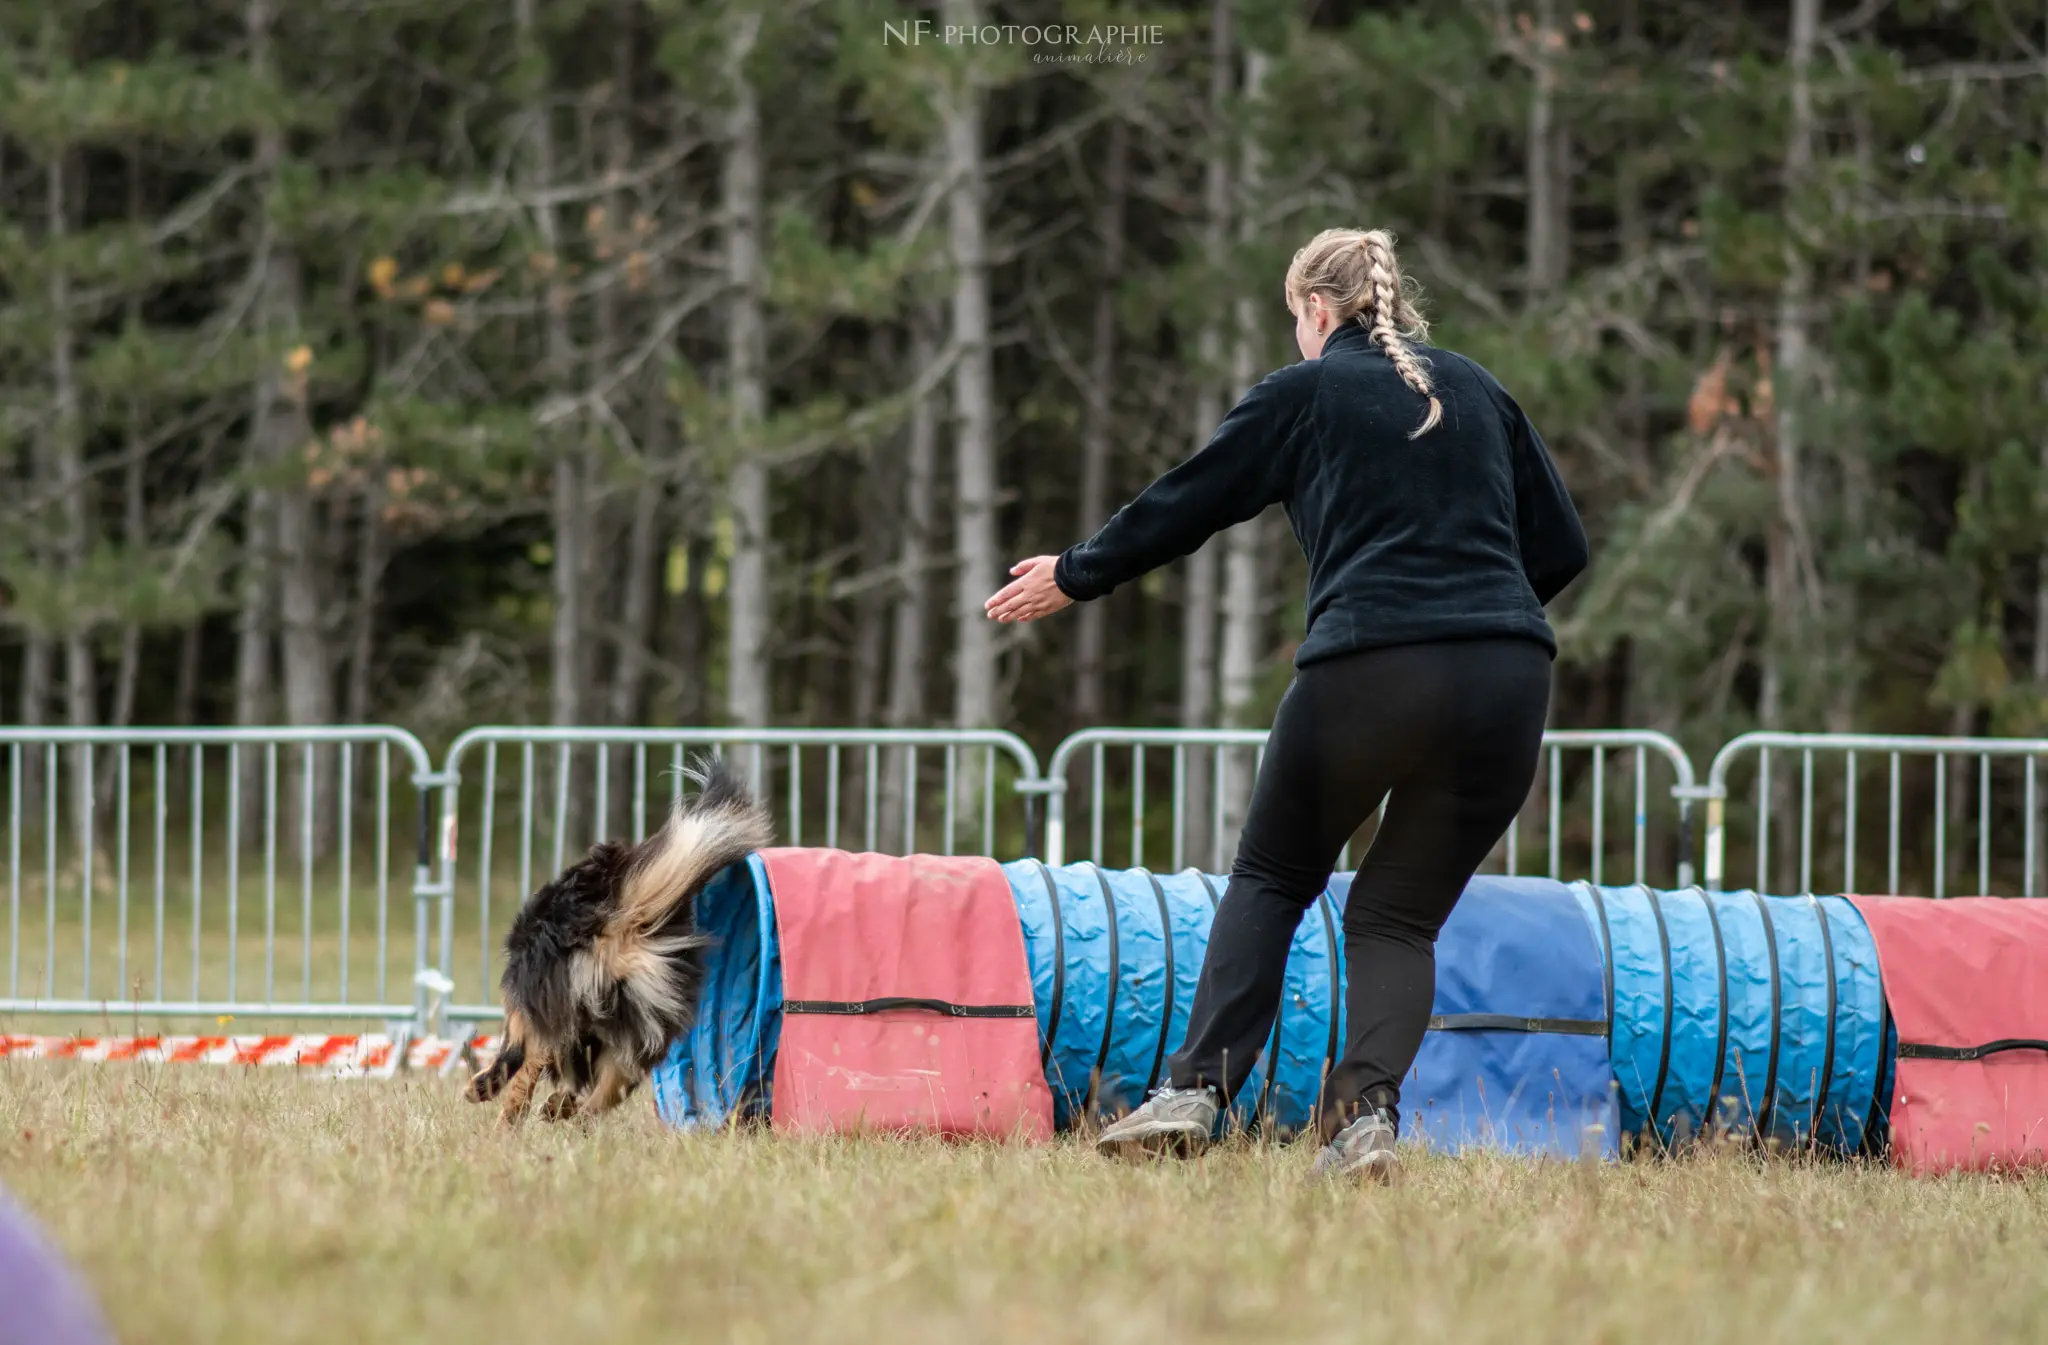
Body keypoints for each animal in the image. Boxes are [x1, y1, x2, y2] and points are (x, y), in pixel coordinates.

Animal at [464, 753, 774, 1121]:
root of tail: (620, 923)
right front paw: (558, 1102)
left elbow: (512, 1048)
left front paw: (483, 1086)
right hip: (641, 1034)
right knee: (598, 1100)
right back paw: (561, 1109)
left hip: (554, 1002)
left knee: (529, 1073)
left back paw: (508, 1117)